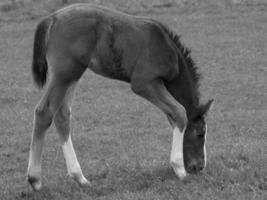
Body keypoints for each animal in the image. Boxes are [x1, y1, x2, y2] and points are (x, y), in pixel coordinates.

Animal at [27, 3, 215, 191]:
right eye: (201, 133)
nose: (200, 167)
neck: (166, 47)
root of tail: (51, 18)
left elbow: (174, 115)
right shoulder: (144, 83)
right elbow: (179, 112)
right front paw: (179, 169)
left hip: (72, 75)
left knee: (62, 115)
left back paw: (80, 177)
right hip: (65, 73)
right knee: (44, 112)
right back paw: (35, 179)